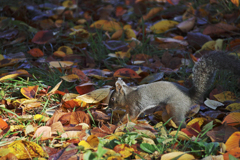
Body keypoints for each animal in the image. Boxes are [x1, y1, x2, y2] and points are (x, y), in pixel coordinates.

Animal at [109, 50, 240, 127]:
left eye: (113, 99)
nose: (109, 107)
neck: (128, 95)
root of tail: (189, 96)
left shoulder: (134, 106)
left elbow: (130, 116)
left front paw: (118, 123)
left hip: (176, 107)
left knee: (181, 123)